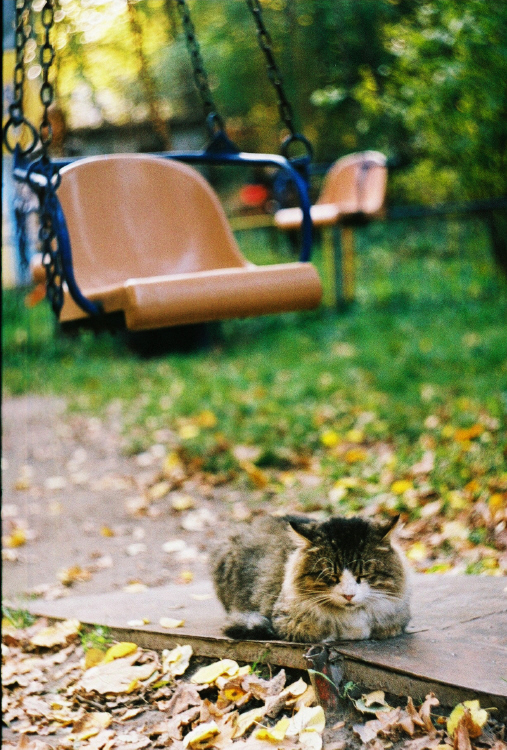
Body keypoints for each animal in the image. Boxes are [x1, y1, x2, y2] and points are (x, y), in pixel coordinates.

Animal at [211, 516, 412, 648]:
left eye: (362, 576)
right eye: (331, 576)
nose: (348, 595)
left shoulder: (396, 622)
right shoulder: (285, 621)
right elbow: (320, 633)